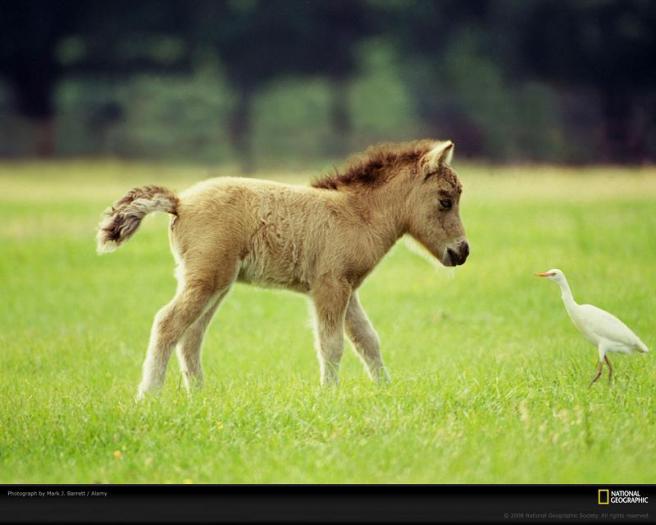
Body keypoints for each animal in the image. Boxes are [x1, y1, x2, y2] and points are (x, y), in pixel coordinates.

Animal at [96, 139, 466, 398]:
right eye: (445, 200)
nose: (462, 252)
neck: (358, 214)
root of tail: (180, 202)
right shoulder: (329, 286)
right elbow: (331, 344)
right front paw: (329, 396)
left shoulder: (347, 289)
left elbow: (367, 340)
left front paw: (385, 390)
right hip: (206, 281)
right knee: (168, 323)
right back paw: (149, 395)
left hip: (215, 284)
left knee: (192, 336)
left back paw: (197, 395)